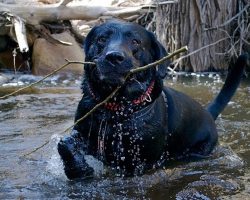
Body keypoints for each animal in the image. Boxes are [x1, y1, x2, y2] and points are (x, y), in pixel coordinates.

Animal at [58, 20, 248, 180]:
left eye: (135, 41)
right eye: (102, 39)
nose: (114, 57)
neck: (115, 108)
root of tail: (207, 113)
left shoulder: (140, 162)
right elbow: (66, 145)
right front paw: (78, 168)